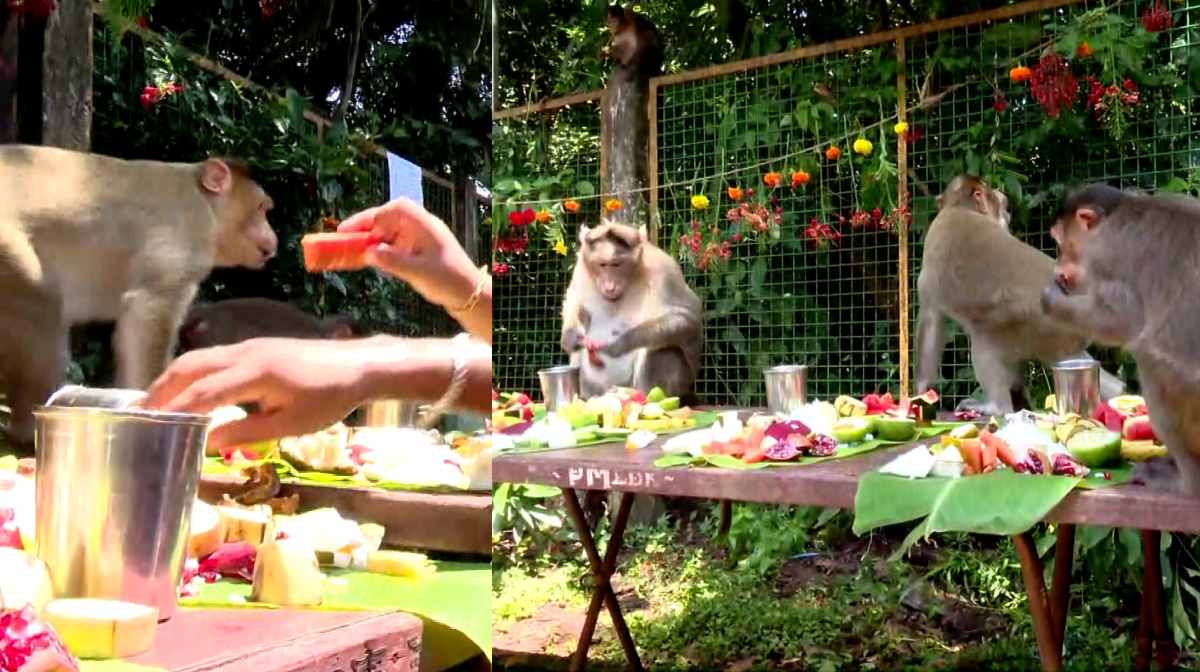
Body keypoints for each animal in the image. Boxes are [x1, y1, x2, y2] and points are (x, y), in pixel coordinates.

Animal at [0, 144, 278, 446]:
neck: (207, 205)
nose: (273, 240)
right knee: (40, 303)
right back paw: (26, 429)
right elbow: (148, 312)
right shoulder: (187, 237)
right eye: (261, 208)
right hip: (7, 246)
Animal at [560, 220, 702, 403]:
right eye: (602, 264)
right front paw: (571, 336)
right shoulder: (580, 268)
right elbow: (574, 300)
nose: (609, 286)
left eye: (617, 264)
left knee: (663, 351)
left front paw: (620, 343)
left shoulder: (664, 269)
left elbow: (687, 318)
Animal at [913, 175, 1125, 417]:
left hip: (1032, 326)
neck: (958, 207)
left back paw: (996, 407)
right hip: (1058, 336)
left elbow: (931, 320)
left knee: (983, 337)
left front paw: (919, 391)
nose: (1005, 208)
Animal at [1041, 184, 1200, 495]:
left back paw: (1186, 481)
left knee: (1150, 360)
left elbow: (1119, 320)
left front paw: (1050, 299)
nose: (1057, 266)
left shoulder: (1107, 259)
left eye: (1061, 243)